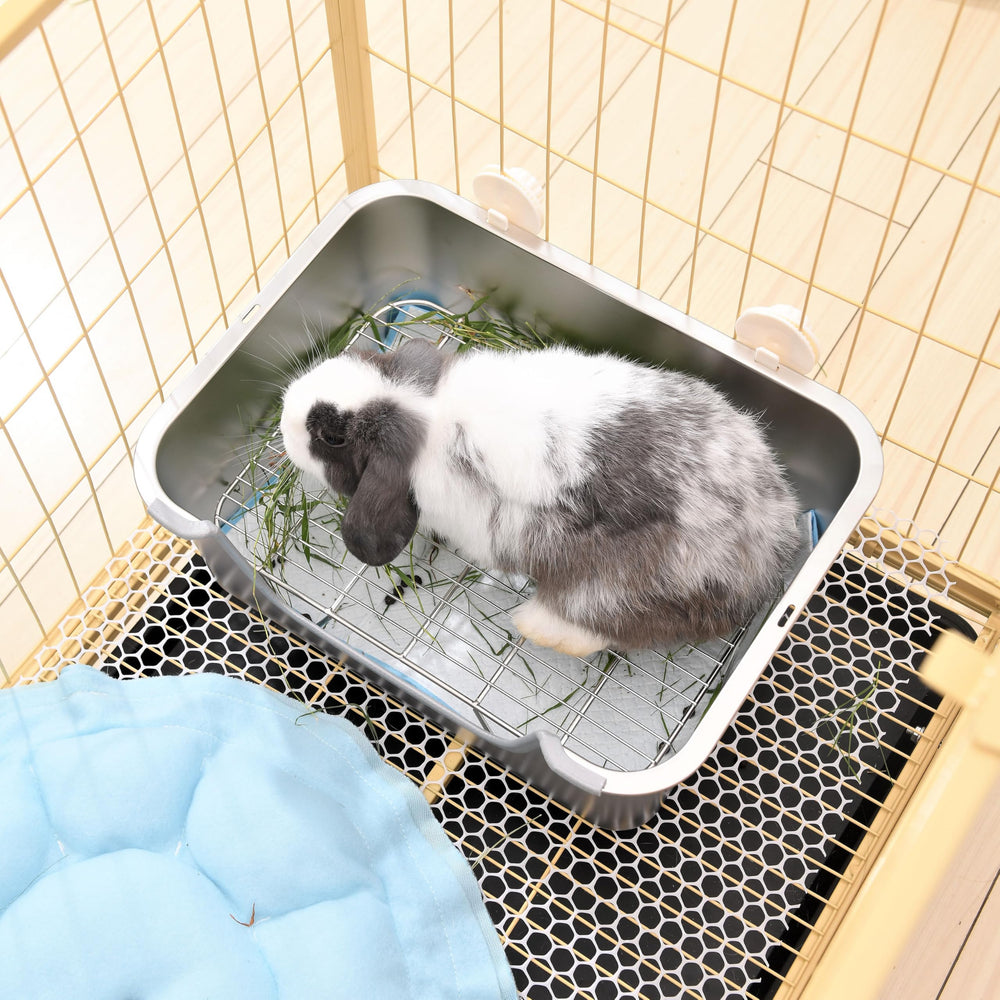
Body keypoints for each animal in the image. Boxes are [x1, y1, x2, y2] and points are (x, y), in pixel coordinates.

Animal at [280, 336, 800, 657]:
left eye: (331, 437)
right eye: (369, 358)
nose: (285, 412)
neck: (427, 413)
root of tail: (767, 555)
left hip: (607, 590)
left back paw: (533, 625)